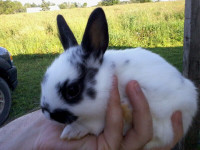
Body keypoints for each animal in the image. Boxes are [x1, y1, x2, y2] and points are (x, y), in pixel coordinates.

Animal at [39, 7, 198, 149]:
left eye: (72, 90)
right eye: (44, 79)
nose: (47, 113)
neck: (109, 78)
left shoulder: (98, 118)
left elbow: (91, 126)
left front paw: (71, 132)